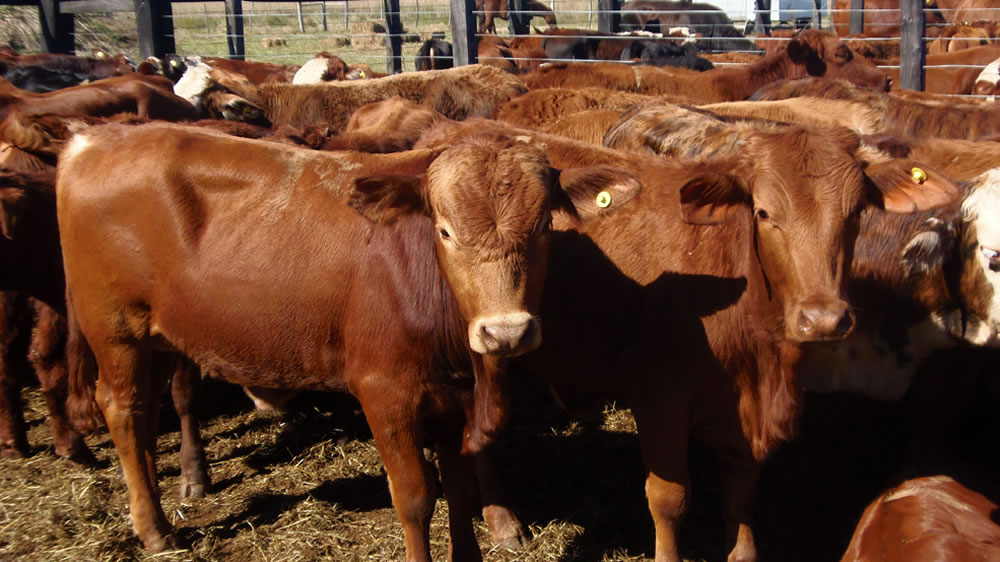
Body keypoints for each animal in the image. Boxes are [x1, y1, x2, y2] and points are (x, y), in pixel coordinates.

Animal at [56, 122, 640, 556]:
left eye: (543, 226)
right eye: (445, 230)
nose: (506, 331)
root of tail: (93, 140)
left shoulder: (452, 395)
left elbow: (457, 486)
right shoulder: (385, 391)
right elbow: (415, 497)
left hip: (157, 336)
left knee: (147, 412)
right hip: (117, 330)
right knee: (123, 410)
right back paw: (155, 529)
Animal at [416, 118, 960, 560]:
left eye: (855, 214)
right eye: (764, 212)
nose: (823, 318)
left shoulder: (747, 413)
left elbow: (742, 493)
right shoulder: (660, 398)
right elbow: (669, 499)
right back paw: (501, 518)